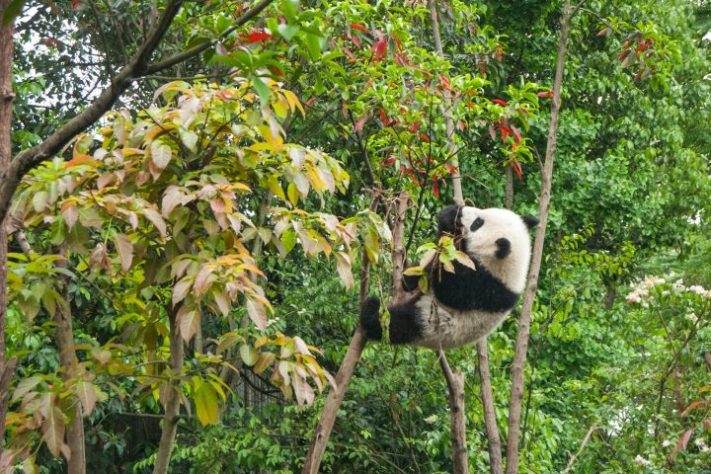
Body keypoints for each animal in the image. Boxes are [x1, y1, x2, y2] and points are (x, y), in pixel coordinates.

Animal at [360, 205, 538, 350]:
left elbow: (449, 289)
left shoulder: (485, 286)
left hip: (432, 324)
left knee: (398, 324)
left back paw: (371, 311)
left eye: (477, 223)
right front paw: (450, 215)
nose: (463, 211)